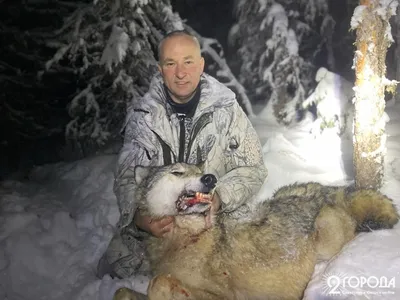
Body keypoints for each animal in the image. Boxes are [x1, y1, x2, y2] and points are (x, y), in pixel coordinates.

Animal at [113, 163, 400, 298]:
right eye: (177, 172)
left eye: (200, 170)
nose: (210, 178)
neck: (185, 238)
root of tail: (329, 190)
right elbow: (121, 291)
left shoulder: (224, 297)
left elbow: (159, 282)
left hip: (327, 240)